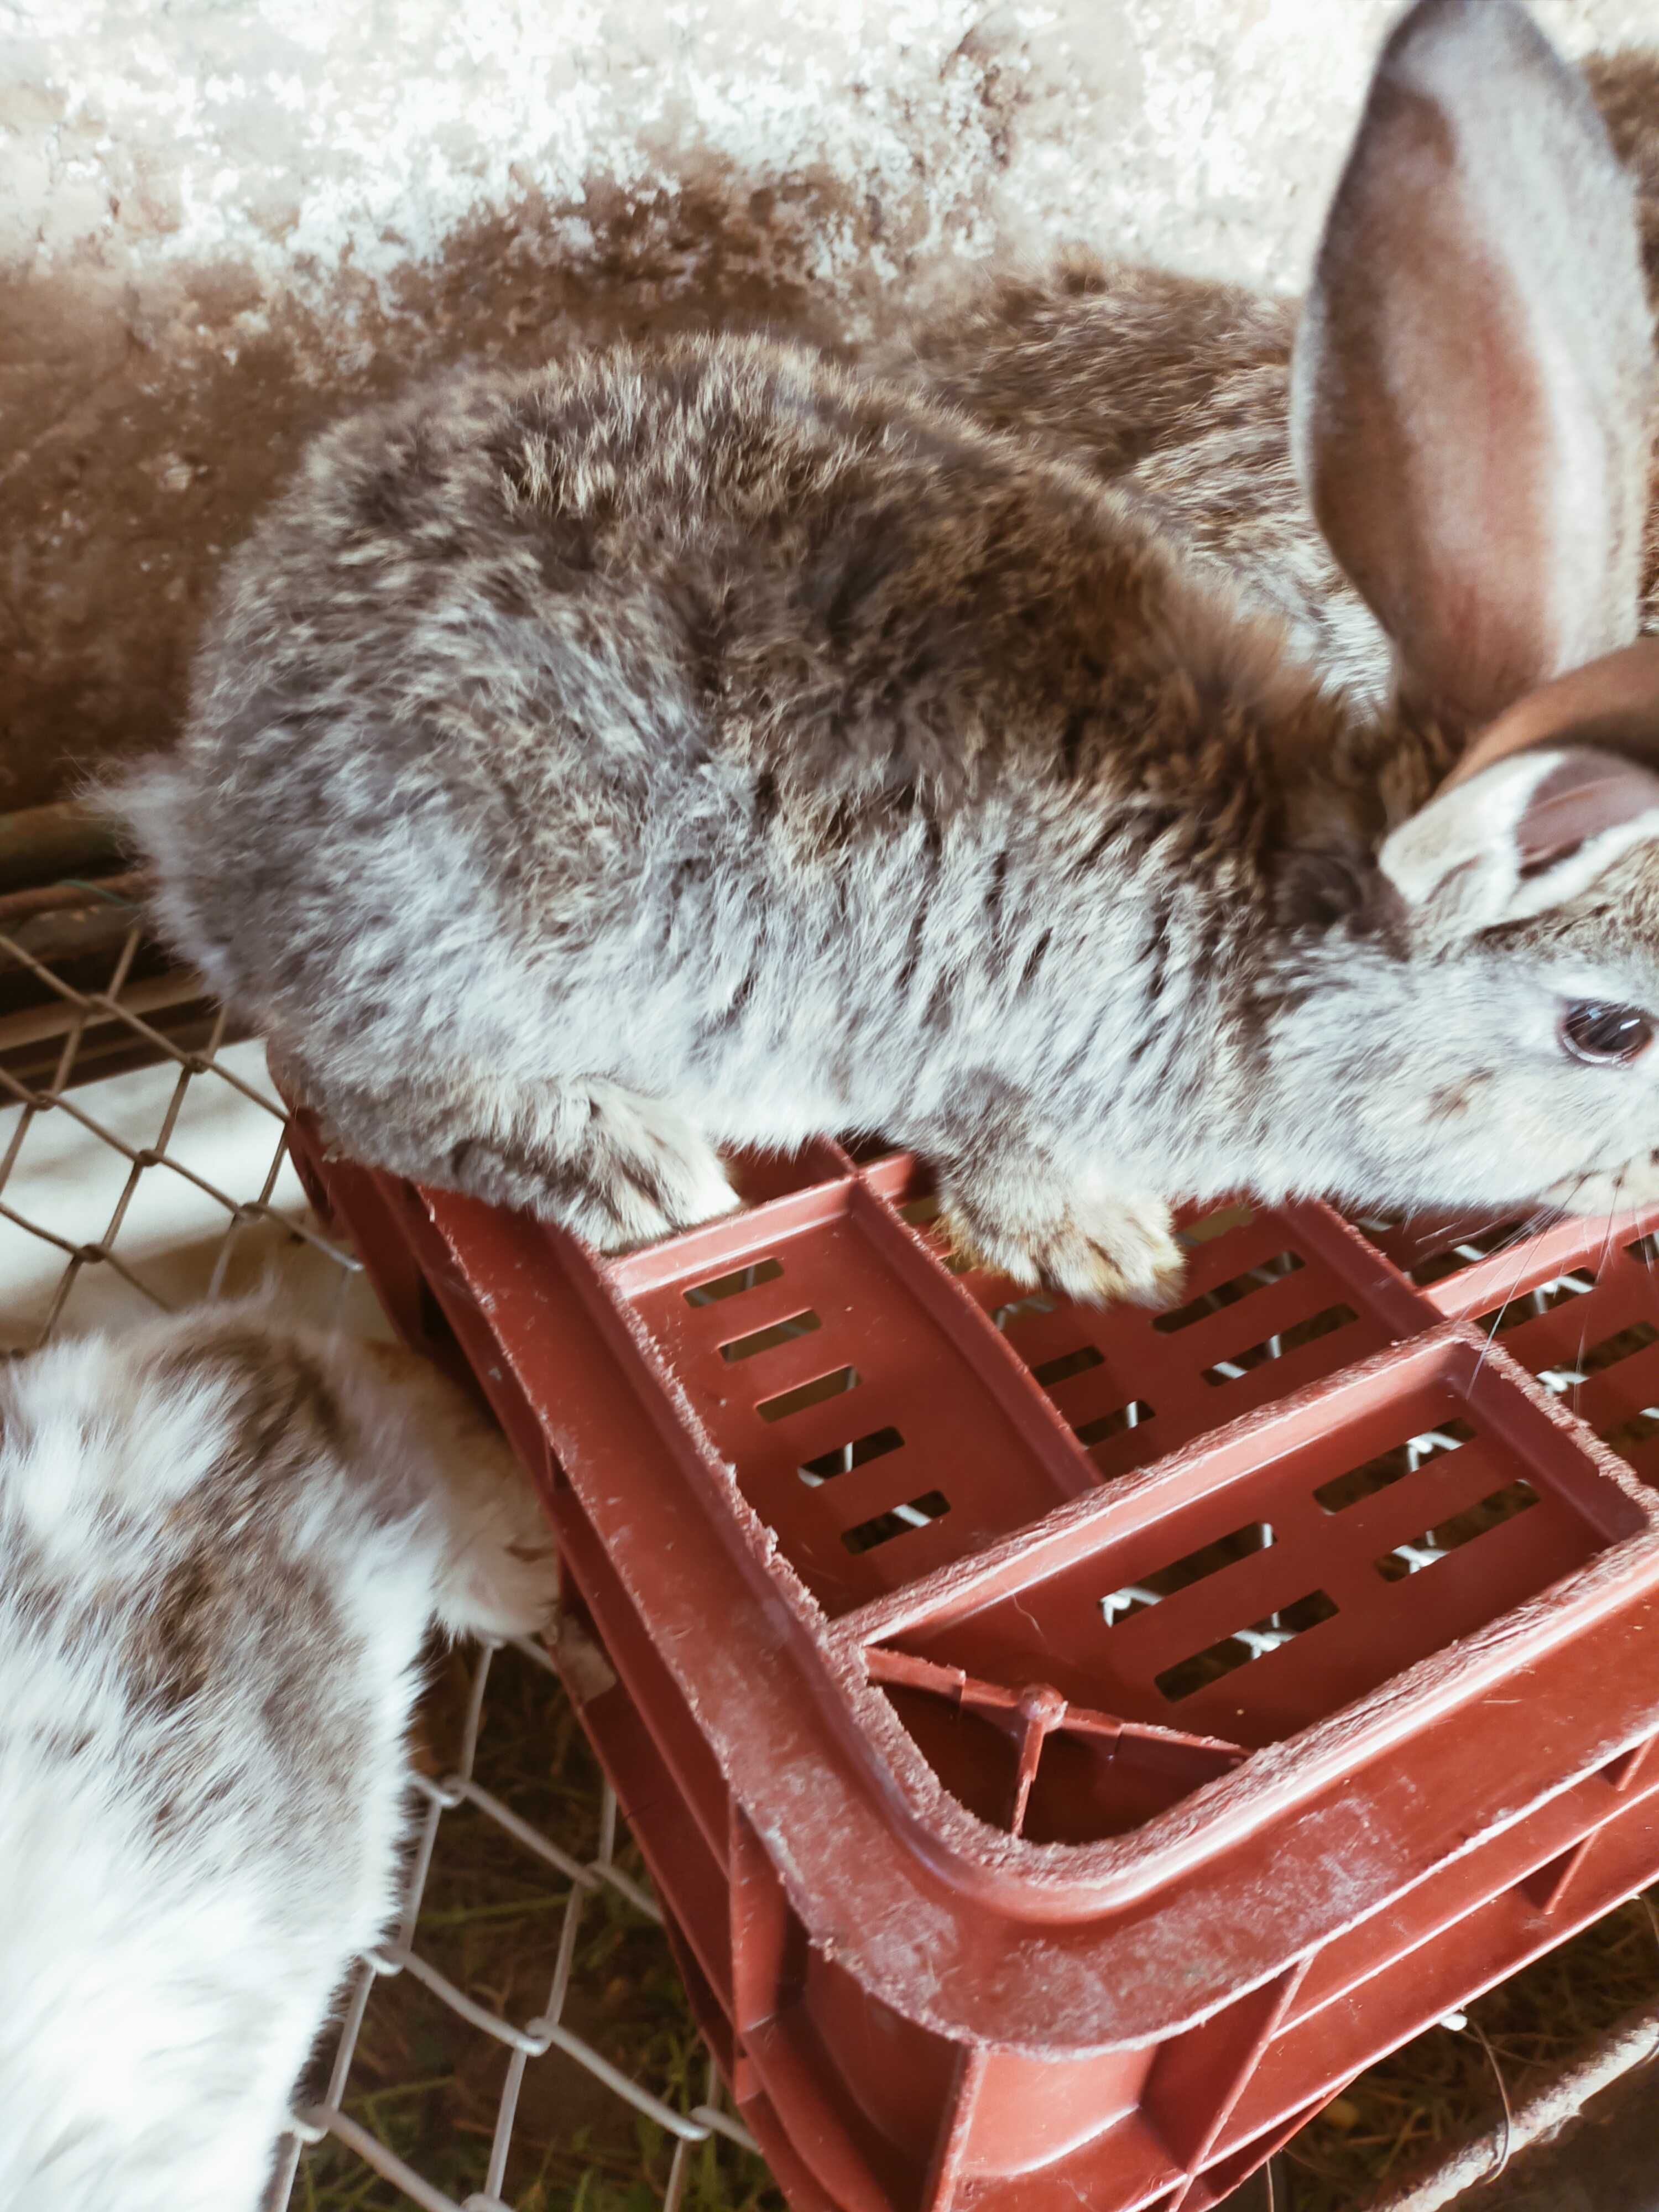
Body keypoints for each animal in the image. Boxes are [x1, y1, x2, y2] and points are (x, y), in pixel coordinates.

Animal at [120, 0, 1659, 1301]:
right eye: (1612, 1031)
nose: (1646, 1184)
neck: (1260, 901)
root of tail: (203, 802)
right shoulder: (992, 1065)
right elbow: (997, 1150)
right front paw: (1104, 1247)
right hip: (466, 934)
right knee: (352, 1082)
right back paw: (627, 1167)